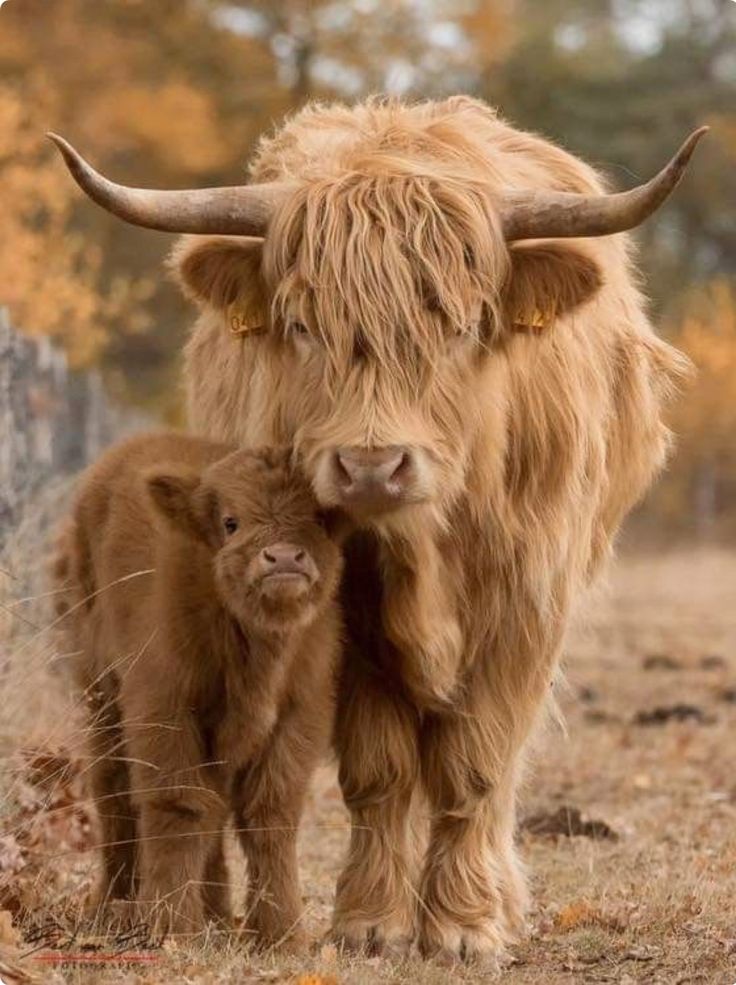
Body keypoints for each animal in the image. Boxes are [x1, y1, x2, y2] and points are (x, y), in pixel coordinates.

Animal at [54, 434, 344, 940]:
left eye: (318, 518)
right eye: (231, 521)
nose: (284, 558)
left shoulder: (300, 714)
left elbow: (270, 814)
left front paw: (281, 935)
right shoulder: (164, 709)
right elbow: (180, 806)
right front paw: (172, 926)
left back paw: (216, 914)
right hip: (101, 697)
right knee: (114, 792)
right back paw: (112, 906)